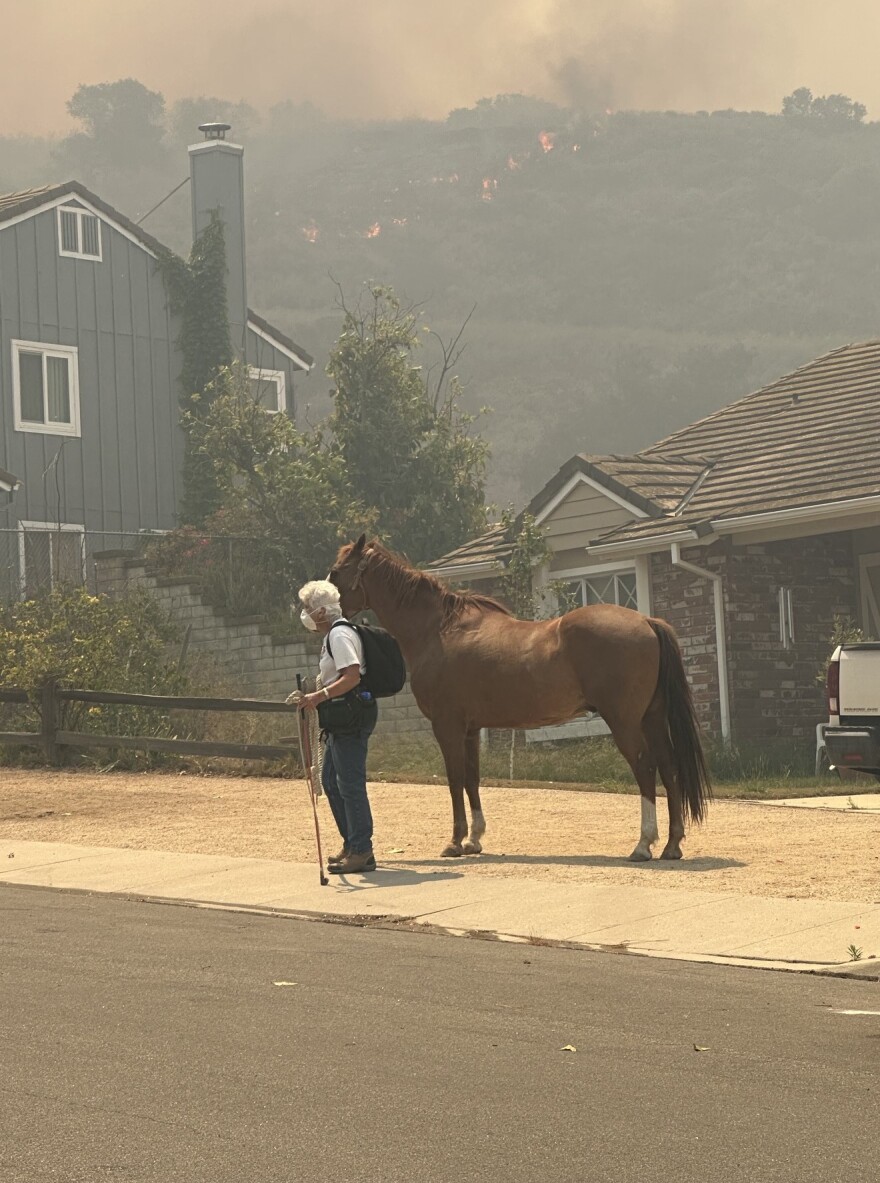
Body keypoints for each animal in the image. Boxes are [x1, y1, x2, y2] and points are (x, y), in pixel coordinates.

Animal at [329, 535, 711, 862]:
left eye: (336, 572)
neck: (438, 629)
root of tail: (647, 621)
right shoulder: (470, 730)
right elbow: (472, 778)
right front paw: (474, 839)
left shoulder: (447, 726)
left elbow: (454, 779)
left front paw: (455, 841)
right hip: (652, 718)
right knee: (669, 767)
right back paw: (672, 845)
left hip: (625, 722)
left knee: (646, 769)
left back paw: (644, 844)